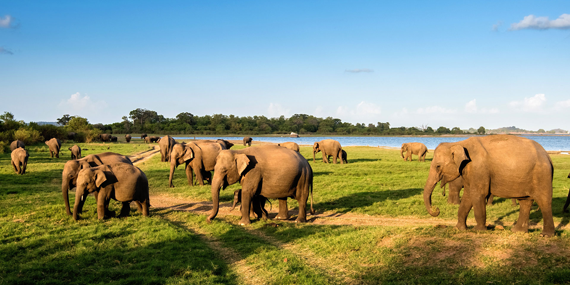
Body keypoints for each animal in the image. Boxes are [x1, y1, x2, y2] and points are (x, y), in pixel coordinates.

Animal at [424, 135, 552, 235]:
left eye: (438, 166)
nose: (436, 209)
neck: (458, 143)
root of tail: (547, 155)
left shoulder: (479, 169)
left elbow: (478, 194)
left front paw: (478, 230)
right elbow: (468, 195)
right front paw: (459, 229)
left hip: (542, 176)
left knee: (543, 201)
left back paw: (545, 235)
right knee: (525, 202)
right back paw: (517, 231)